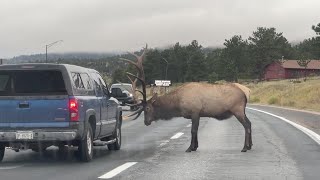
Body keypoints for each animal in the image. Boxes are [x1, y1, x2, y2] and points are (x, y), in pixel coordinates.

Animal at [122, 45, 252, 153]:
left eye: (147, 108)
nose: (146, 122)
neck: (178, 104)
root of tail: (246, 94)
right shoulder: (196, 114)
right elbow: (195, 130)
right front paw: (195, 147)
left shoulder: (195, 111)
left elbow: (193, 130)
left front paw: (190, 148)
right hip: (242, 110)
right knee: (249, 123)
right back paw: (250, 145)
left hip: (237, 109)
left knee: (246, 125)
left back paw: (245, 147)